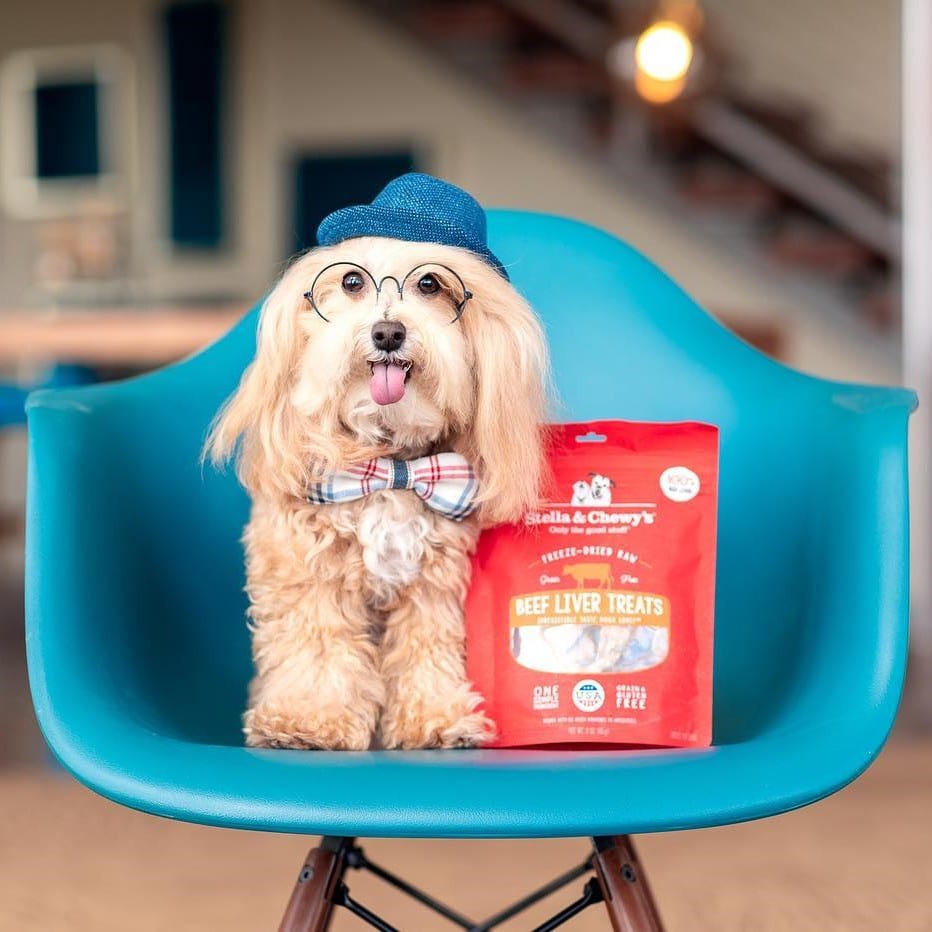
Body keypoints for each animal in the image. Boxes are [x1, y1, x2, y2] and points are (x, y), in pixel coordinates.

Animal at [206, 173, 548, 748]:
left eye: (430, 284)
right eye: (351, 282)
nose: (388, 332)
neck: (389, 467)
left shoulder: (434, 585)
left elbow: (426, 648)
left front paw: (435, 717)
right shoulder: (307, 575)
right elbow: (318, 647)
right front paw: (306, 720)